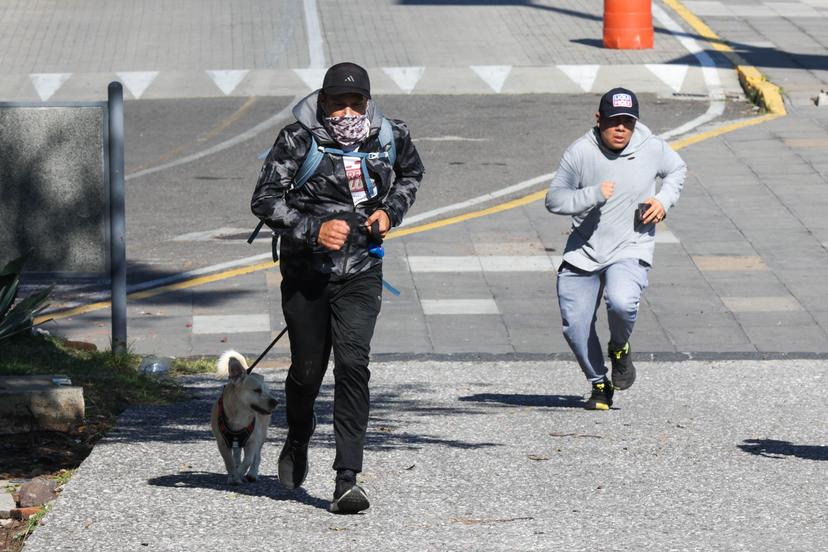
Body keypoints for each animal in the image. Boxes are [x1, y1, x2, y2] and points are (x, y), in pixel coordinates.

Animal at [210, 352, 278, 486]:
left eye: (267, 391)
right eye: (257, 390)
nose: (275, 402)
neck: (240, 416)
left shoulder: (252, 441)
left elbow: (248, 460)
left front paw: (238, 475)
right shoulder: (222, 443)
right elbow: (229, 461)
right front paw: (233, 475)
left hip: (262, 435)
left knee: (257, 457)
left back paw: (252, 474)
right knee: (236, 455)